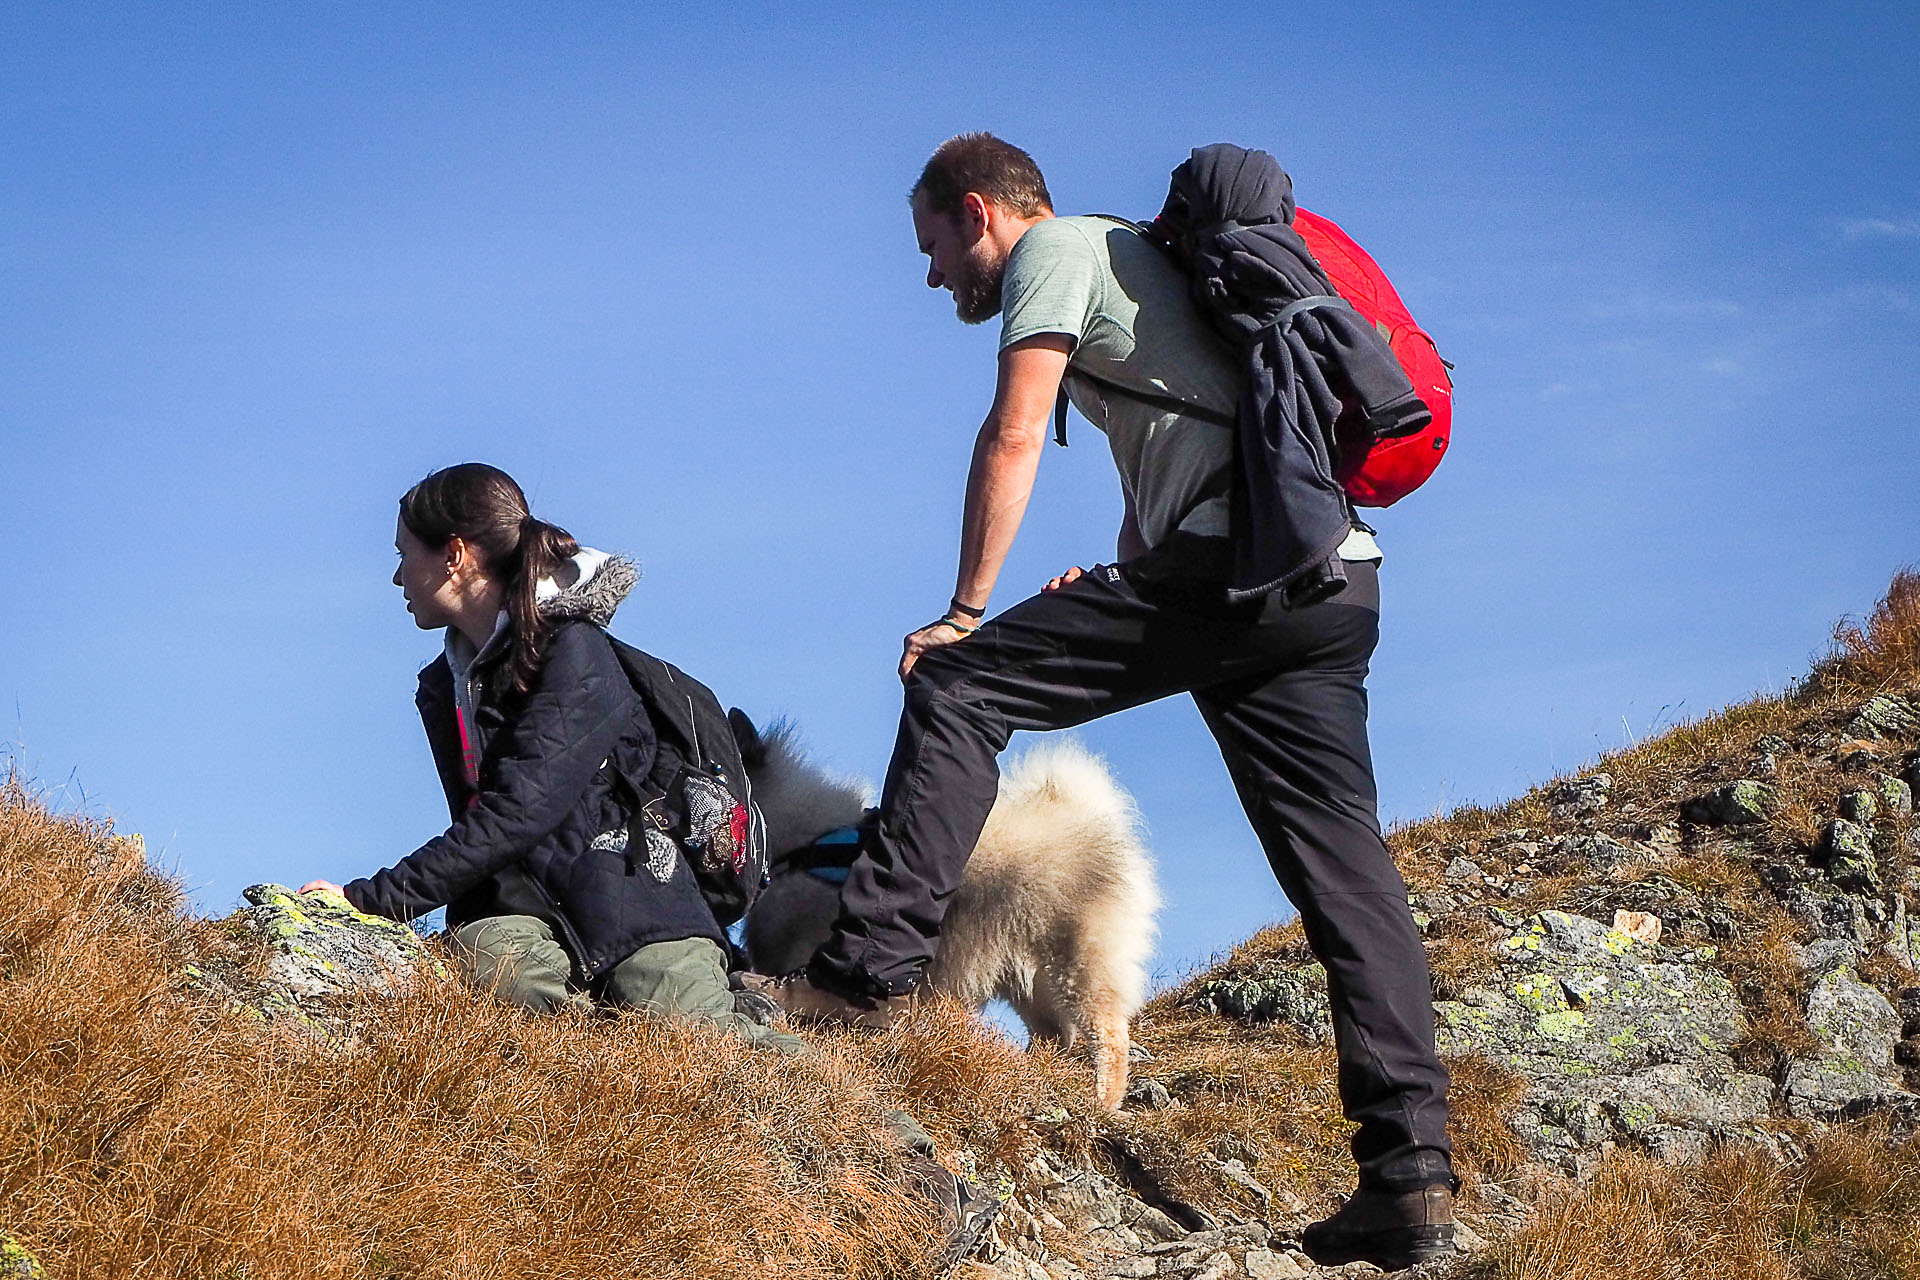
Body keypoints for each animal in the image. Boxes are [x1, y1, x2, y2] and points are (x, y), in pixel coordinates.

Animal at [729, 710, 1152, 1113]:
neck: (808, 845)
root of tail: (1095, 819)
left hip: (1078, 966)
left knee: (1109, 1036)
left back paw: (1102, 1100)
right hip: (1030, 979)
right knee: (1056, 1035)